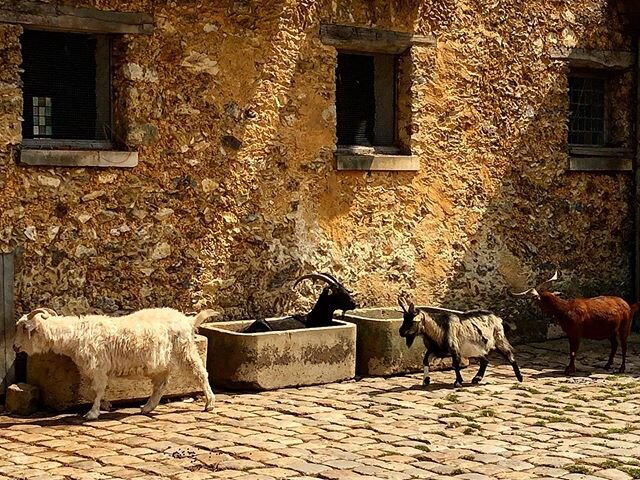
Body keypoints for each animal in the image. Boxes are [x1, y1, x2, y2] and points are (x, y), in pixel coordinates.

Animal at [12, 308, 216, 420]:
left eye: (24, 328)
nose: (14, 346)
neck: (76, 334)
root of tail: (187, 320)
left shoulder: (98, 367)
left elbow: (96, 390)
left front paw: (92, 413)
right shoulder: (93, 370)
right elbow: (91, 391)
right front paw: (106, 405)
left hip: (185, 351)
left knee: (200, 373)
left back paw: (209, 403)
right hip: (161, 362)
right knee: (161, 385)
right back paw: (147, 408)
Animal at [510, 270, 640, 376]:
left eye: (538, 301)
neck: (566, 309)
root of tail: (628, 306)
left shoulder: (576, 332)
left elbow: (573, 351)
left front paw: (570, 370)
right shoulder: (570, 333)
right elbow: (571, 350)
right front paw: (568, 368)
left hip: (625, 326)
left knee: (624, 346)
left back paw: (622, 369)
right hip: (610, 331)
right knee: (615, 345)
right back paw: (607, 365)